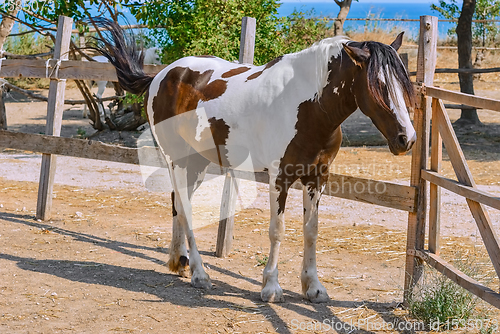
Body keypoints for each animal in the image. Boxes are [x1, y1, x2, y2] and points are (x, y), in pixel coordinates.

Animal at [92, 18, 416, 304]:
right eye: (379, 85)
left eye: (404, 84)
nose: (407, 139)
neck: (307, 105)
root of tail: (160, 76)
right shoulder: (279, 177)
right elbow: (277, 230)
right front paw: (271, 287)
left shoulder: (317, 177)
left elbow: (311, 230)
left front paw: (313, 288)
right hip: (178, 161)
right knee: (185, 208)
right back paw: (199, 273)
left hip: (195, 164)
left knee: (178, 205)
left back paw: (178, 261)